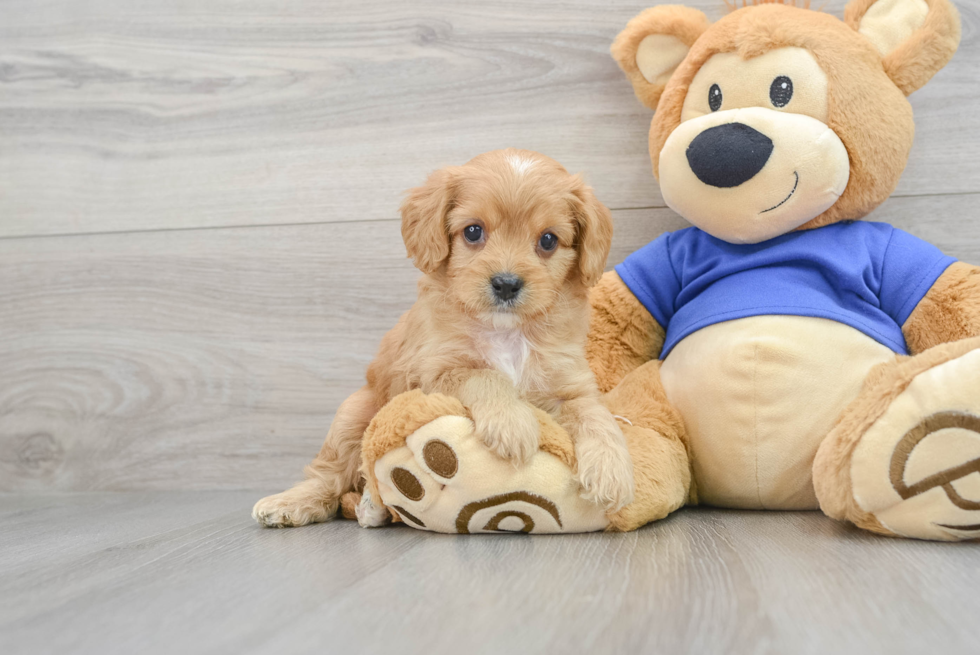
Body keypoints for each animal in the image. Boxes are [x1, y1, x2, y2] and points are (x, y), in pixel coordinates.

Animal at [253, 149, 636, 528]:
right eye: (473, 231)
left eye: (548, 240)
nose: (506, 284)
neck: (506, 330)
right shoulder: (432, 373)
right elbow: (484, 374)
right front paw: (512, 423)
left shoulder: (570, 384)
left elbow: (595, 415)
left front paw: (612, 471)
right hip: (352, 414)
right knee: (333, 473)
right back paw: (296, 504)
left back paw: (371, 507)